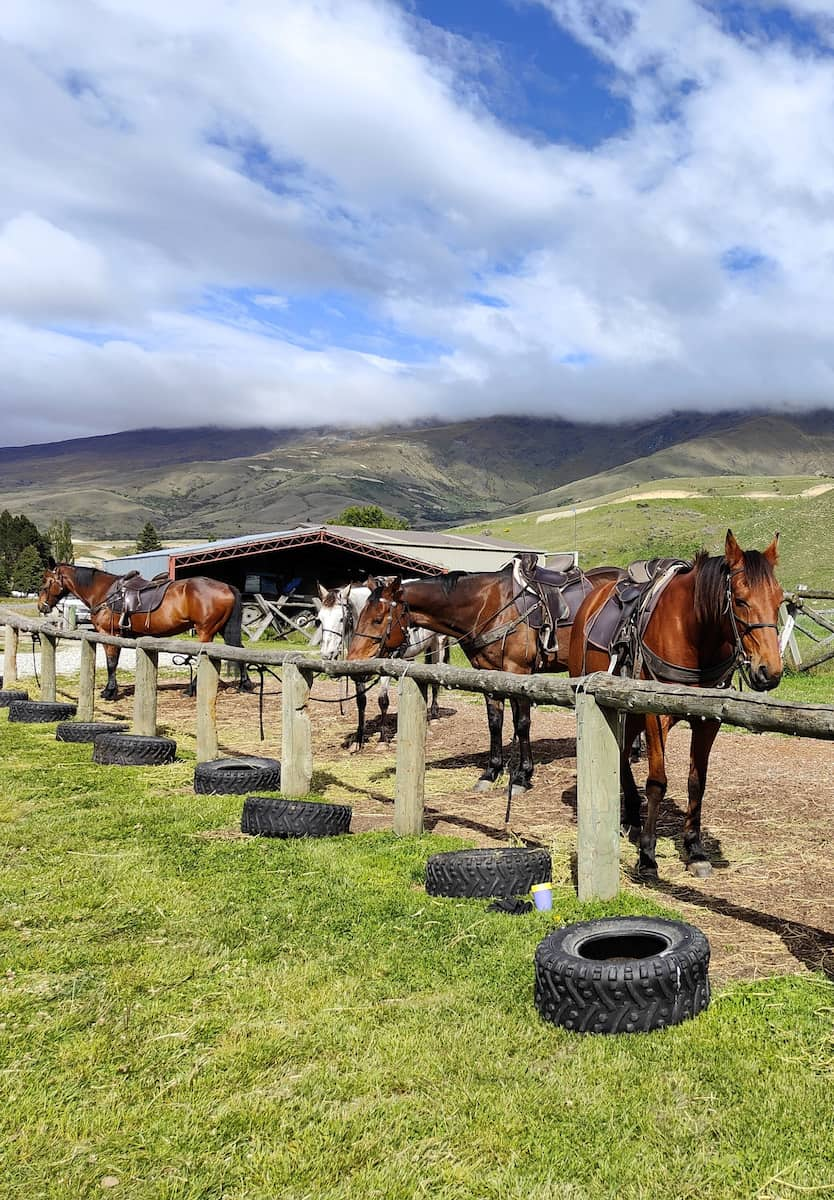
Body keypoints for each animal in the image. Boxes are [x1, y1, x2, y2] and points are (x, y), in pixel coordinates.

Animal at [39, 564, 248, 700]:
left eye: (46, 583)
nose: (41, 606)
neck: (105, 593)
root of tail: (226, 586)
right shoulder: (118, 636)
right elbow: (114, 661)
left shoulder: (108, 634)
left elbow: (111, 662)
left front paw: (109, 692)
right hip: (222, 629)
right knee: (238, 650)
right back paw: (244, 684)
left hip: (205, 631)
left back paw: (191, 689)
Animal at [568, 535, 782, 883]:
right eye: (740, 600)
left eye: (779, 600)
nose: (769, 672)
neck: (694, 631)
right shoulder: (656, 715)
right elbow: (657, 782)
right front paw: (647, 856)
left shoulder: (708, 720)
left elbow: (697, 781)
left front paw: (695, 850)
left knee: (623, 753)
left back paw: (631, 816)